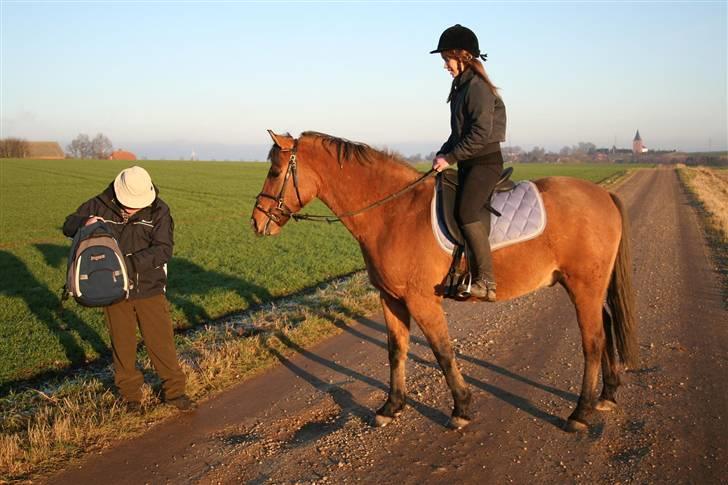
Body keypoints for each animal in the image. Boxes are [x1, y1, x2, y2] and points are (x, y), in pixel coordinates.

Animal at [252, 130, 636, 432]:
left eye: (274, 171)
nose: (256, 222)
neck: (394, 213)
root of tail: (603, 195)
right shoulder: (391, 299)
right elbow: (396, 350)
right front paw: (391, 407)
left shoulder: (422, 300)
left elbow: (442, 351)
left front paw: (461, 408)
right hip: (591, 287)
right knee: (605, 327)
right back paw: (608, 394)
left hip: (583, 286)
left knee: (593, 341)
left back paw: (581, 413)